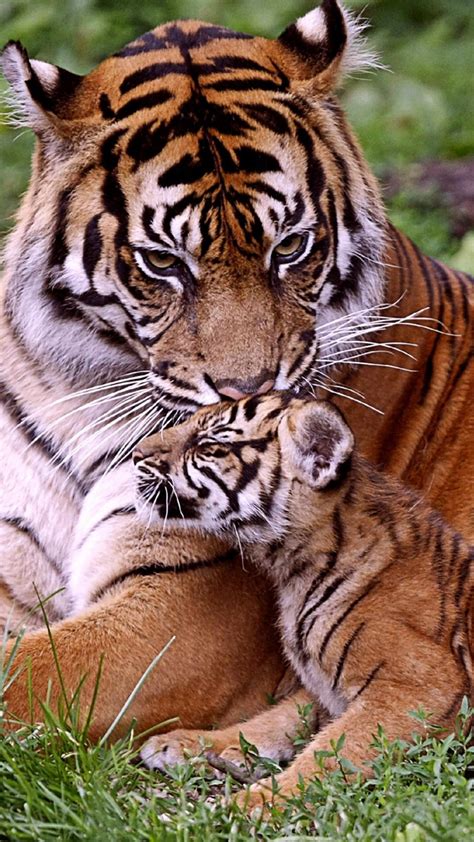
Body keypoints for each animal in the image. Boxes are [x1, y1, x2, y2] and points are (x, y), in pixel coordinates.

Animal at [0, 0, 472, 737]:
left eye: (291, 247)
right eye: (163, 262)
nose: (249, 392)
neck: (78, 390)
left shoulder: (180, 610)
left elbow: (19, 674)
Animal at [134, 392, 474, 806]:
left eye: (209, 446)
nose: (135, 454)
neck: (293, 568)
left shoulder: (421, 683)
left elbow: (332, 752)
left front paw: (254, 804)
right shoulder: (321, 689)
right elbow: (271, 722)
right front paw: (188, 744)